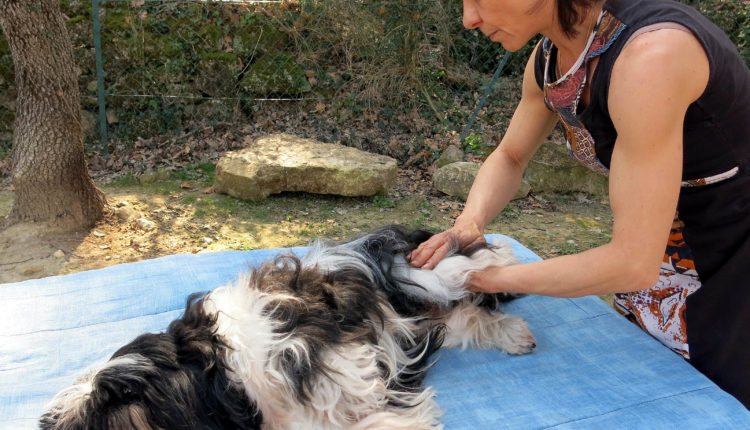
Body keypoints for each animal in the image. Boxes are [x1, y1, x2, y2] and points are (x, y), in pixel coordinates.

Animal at [41, 227, 536, 428]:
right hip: (427, 314)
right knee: (466, 318)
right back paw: (515, 335)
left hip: (411, 269)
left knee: (467, 263)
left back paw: (504, 259)